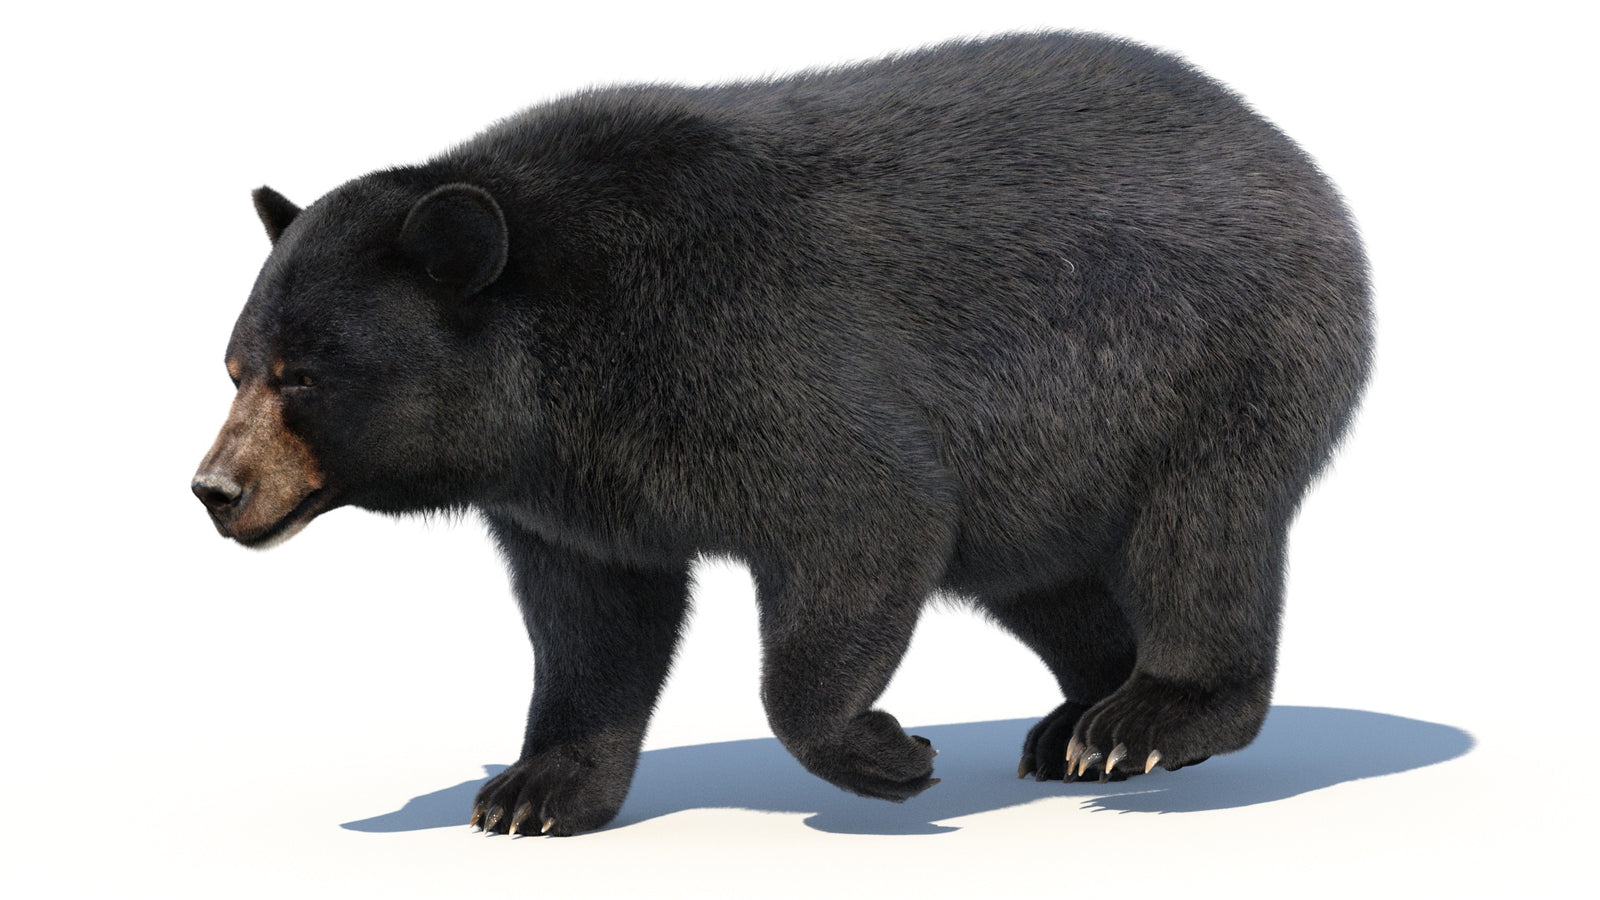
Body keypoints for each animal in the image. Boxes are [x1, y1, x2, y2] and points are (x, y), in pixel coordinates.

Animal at [193, 31, 1372, 837]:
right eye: (237, 366)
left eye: (305, 375)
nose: (215, 489)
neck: (557, 367)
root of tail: (1287, 152)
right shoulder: (572, 489)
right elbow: (593, 621)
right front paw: (534, 791)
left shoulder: (745, 354)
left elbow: (866, 514)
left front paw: (884, 752)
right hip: (1051, 468)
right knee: (1047, 578)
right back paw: (1076, 717)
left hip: (1215, 361)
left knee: (1199, 536)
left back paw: (1146, 722)